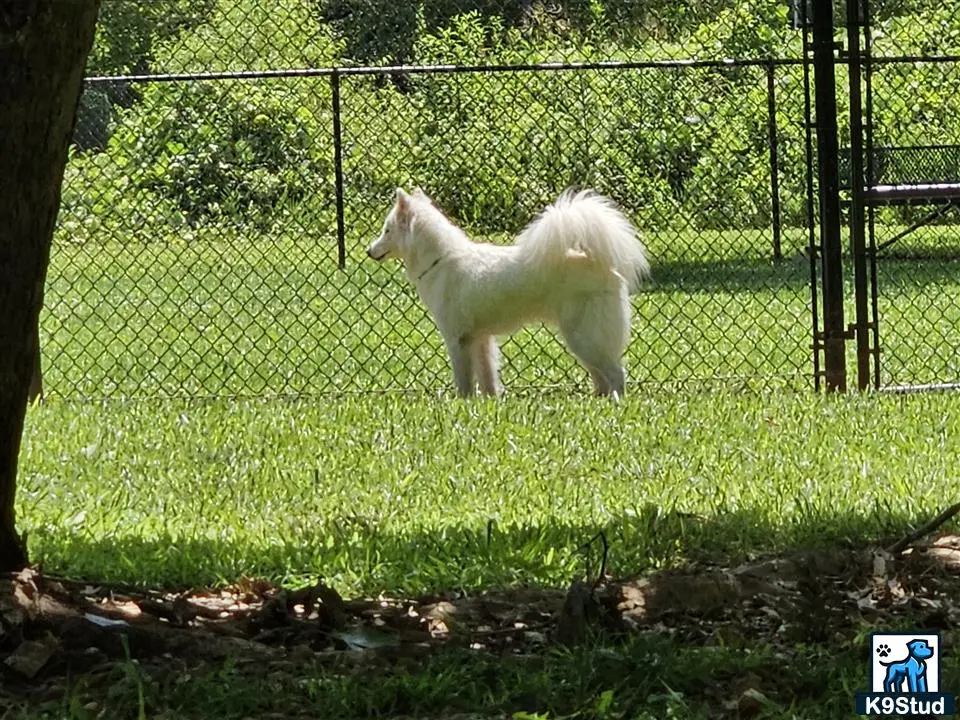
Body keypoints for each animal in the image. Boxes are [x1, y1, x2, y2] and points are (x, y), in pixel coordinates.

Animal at [368, 186, 652, 400]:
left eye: (386, 230)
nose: (368, 251)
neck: (440, 261)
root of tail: (604, 265)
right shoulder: (480, 339)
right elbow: (488, 379)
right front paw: (489, 403)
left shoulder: (457, 339)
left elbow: (464, 381)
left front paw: (462, 403)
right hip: (582, 340)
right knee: (601, 377)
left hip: (584, 337)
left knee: (616, 373)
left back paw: (615, 403)